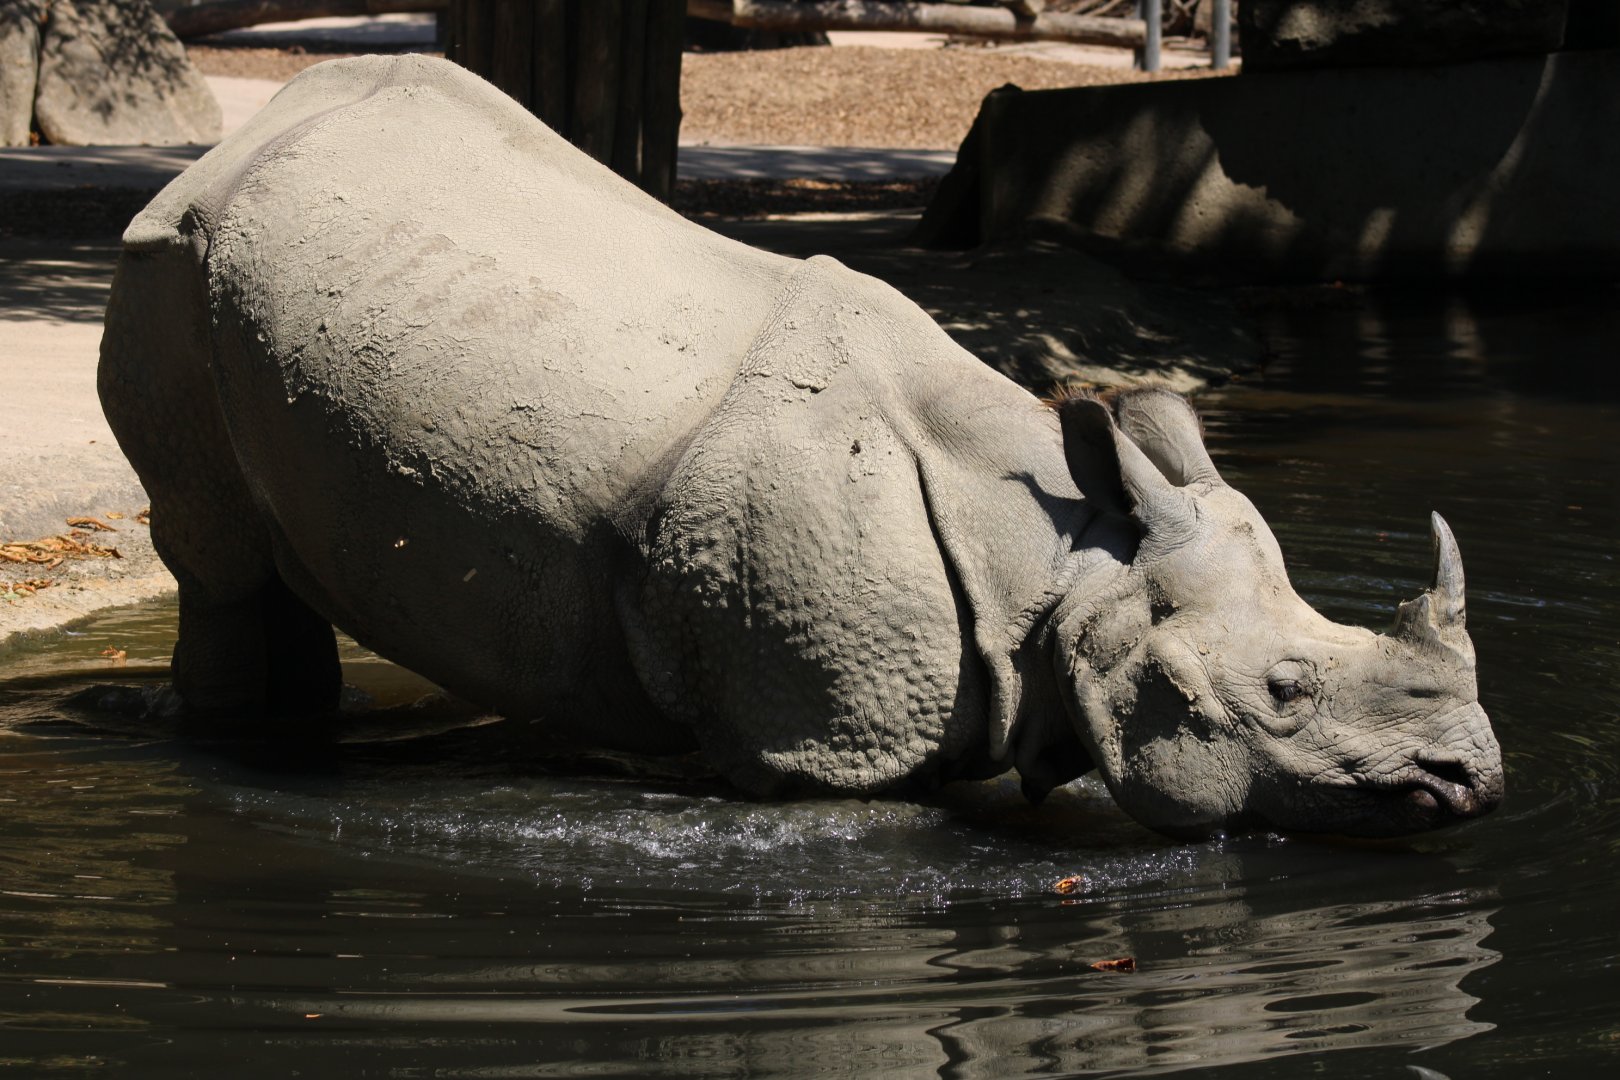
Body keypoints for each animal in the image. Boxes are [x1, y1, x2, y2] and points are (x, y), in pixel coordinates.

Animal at [98, 55, 1502, 839]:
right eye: (1287, 690)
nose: (1471, 780)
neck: (1067, 561)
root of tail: (229, 148)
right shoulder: (825, 736)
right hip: (167, 271)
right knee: (214, 555)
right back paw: (235, 748)